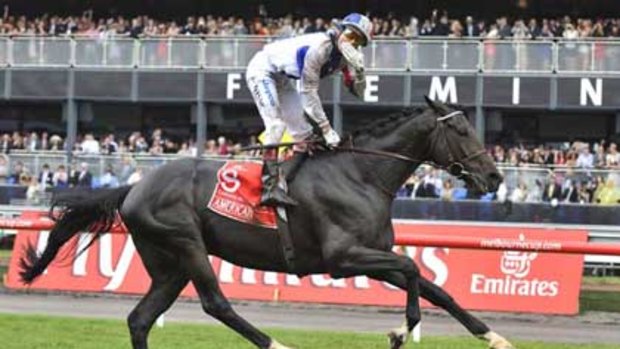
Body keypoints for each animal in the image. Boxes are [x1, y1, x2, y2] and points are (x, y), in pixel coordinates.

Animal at [19, 97, 512, 348]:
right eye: (461, 130)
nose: (494, 176)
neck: (361, 174)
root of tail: (133, 188)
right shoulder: (343, 257)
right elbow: (412, 271)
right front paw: (397, 331)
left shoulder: (373, 253)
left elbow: (435, 288)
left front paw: (494, 336)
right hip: (186, 243)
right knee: (216, 304)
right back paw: (276, 344)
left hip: (167, 264)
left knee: (140, 319)